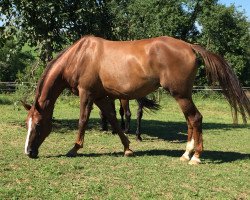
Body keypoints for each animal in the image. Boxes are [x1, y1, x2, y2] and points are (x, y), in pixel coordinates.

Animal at [22, 35, 250, 164]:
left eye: (39, 124)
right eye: (27, 124)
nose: (29, 152)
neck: (80, 56)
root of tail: (189, 46)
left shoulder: (87, 94)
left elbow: (83, 121)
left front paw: (74, 149)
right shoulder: (101, 97)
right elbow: (114, 120)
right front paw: (128, 148)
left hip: (181, 95)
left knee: (195, 119)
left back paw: (195, 157)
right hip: (184, 96)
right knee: (190, 121)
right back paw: (186, 153)